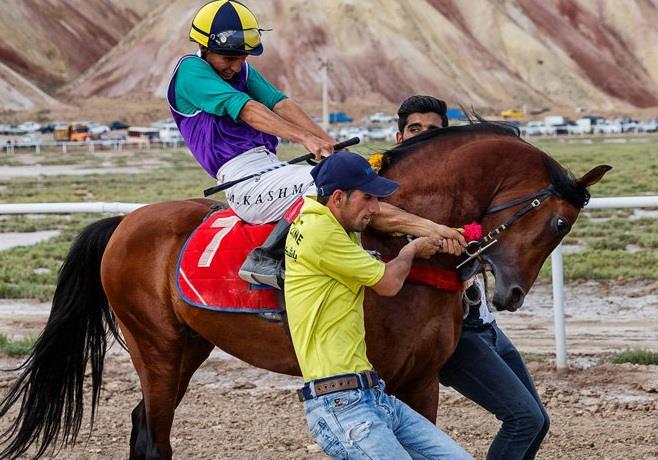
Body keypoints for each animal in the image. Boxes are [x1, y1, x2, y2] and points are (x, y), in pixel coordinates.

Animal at [0, 120, 608, 458]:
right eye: (558, 224)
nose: (510, 295)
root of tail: (125, 222)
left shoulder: (421, 379)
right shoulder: (379, 378)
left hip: (190, 345)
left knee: (142, 426)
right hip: (158, 347)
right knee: (153, 435)